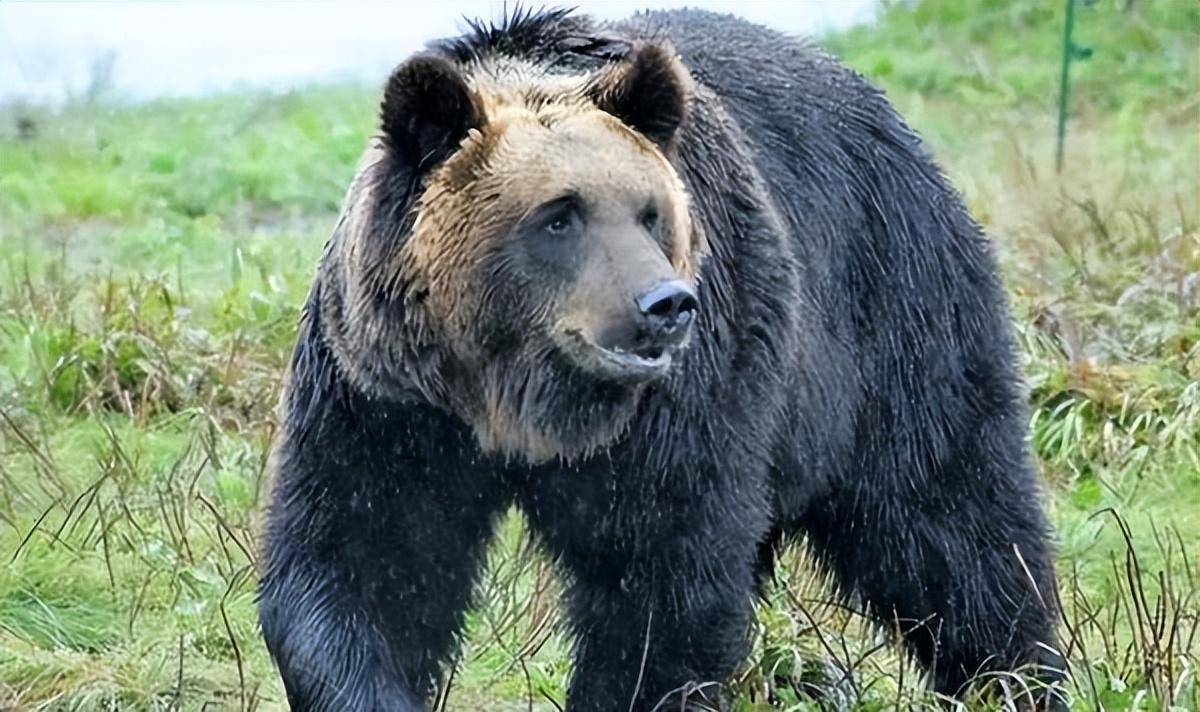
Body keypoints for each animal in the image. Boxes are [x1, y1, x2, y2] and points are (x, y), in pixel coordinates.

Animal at [257, 7, 1067, 711]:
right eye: (559, 216)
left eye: (651, 212)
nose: (665, 304)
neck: (518, 400)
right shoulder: (388, 399)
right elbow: (362, 563)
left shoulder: (683, 405)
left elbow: (661, 582)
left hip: (893, 322)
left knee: (952, 524)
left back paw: (1017, 680)